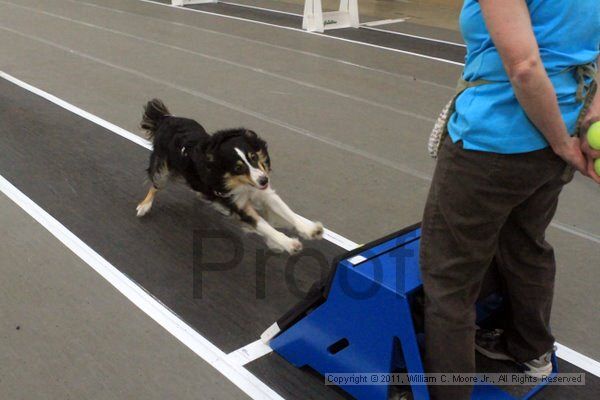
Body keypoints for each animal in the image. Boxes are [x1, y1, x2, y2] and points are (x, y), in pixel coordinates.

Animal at [136, 99, 324, 253]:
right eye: (238, 168)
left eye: (253, 157)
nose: (264, 179)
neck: (241, 183)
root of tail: (165, 119)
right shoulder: (238, 205)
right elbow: (264, 226)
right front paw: (288, 243)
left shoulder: (263, 192)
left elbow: (286, 211)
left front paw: (311, 229)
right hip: (162, 169)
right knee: (155, 185)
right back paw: (144, 206)